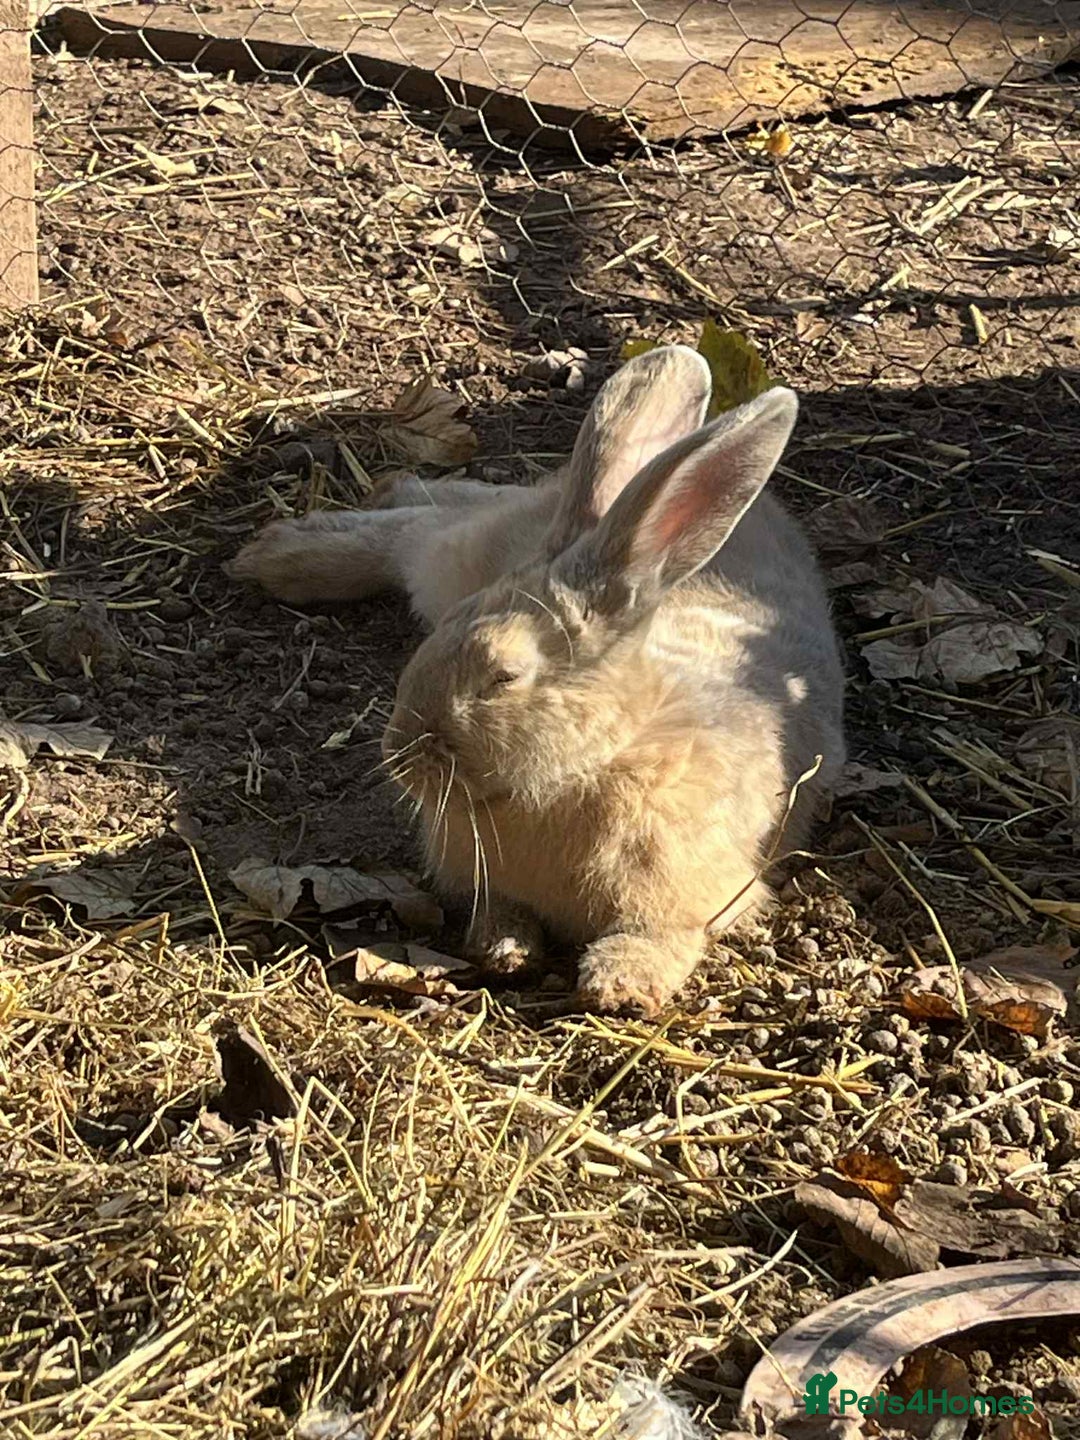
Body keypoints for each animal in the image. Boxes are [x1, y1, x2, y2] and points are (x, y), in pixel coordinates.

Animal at [231, 346, 846, 1015]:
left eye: (504, 676)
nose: (400, 755)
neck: (597, 763)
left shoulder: (702, 896)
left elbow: (662, 936)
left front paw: (620, 985)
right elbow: (500, 912)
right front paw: (507, 949)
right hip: (466, 550)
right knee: (422, 527)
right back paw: (284, 552)